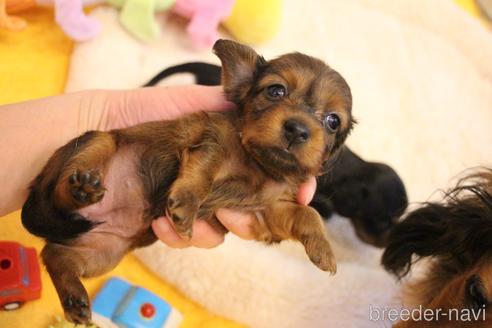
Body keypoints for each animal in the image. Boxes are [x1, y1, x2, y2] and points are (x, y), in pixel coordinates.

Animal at [21, 39, 354, 324]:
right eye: (276, 91)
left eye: (332, 121)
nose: (297, 129)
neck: (259, 164)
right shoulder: (211, 145)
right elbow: (201, 176)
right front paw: (185, 207)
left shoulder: (268, 211)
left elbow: (306, 214)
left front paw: (323, 249)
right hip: (97, 144)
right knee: (60, 191)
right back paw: (81, 190)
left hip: (104, 251)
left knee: (55, 256)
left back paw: (75, 298)